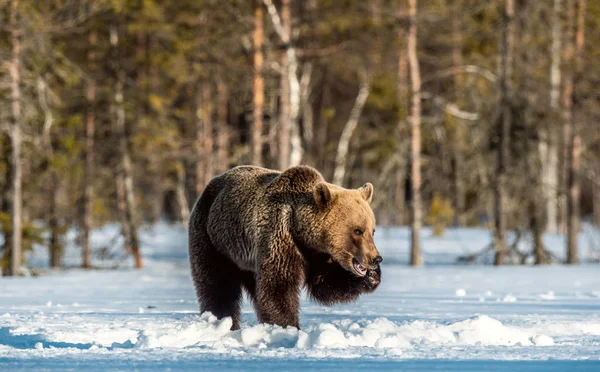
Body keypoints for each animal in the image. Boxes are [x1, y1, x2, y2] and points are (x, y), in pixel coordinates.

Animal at [190, 164, 382, 330]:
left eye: (372, 230)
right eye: (357, 230)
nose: (376, 258)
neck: (301, 231)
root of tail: (211, 183)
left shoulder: (316, 254)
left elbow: (326, 282)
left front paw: (372, 277)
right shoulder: (280, 237)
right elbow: (279, 287)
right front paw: (289, 327)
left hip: (247, 259)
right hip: (215, 239)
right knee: (217, 283)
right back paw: (222, 321)